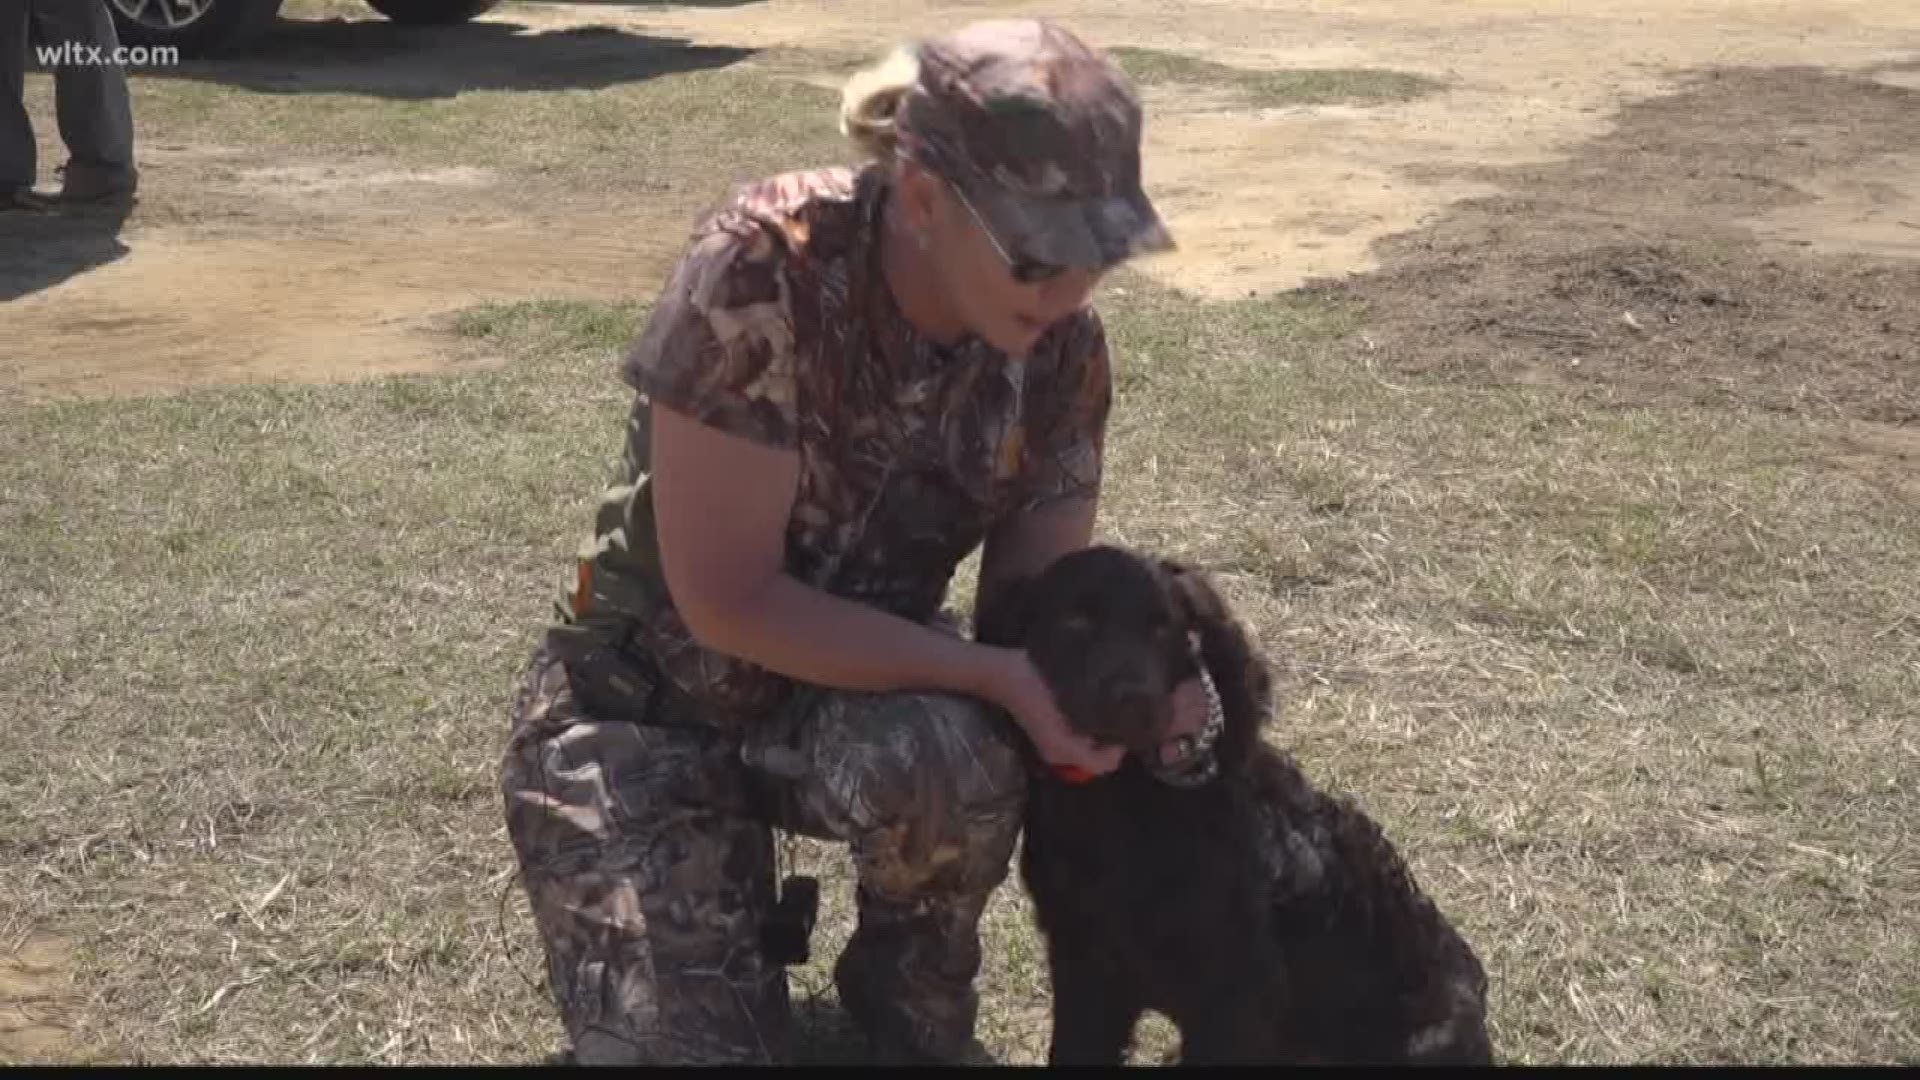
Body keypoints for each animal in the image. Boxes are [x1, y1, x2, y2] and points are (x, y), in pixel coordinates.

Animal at [975, 541, 1497, 1060]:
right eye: (1075, 622)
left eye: (1163, 628)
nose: (1135, 702)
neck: (1123, 801)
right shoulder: (1083, 960)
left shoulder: (1235, 996)